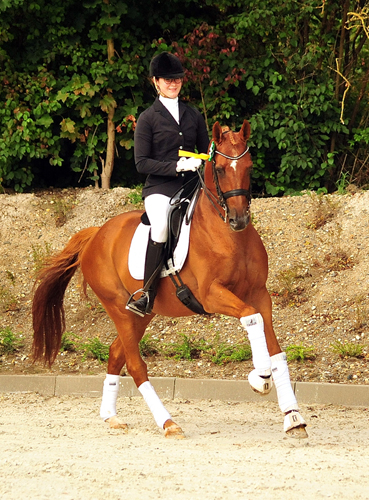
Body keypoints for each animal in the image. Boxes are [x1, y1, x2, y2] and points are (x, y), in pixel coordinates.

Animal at [32, 123, 308, 440]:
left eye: (249, 167)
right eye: (221, 169)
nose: (239, 220)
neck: (229, 236)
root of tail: (96, 234)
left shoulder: (260, 295)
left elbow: (277, 352)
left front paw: (293, 417)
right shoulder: (212, 295)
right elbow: (251, 319)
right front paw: (259, 376)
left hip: (141, 314)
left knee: (116, 354)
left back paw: (111, 416)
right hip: (117, 307)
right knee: (136, 365)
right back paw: (168, 422)